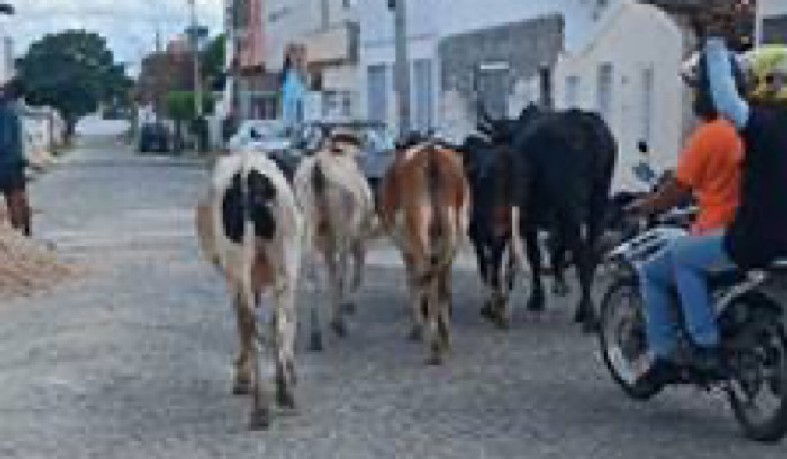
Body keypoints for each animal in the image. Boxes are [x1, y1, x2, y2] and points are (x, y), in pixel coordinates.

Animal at [195, 151, 301, 430]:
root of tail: (246, 170)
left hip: (243, 267)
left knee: (253, 325)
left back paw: (263, 404)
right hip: (284, 264)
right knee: (275, 326)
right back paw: (279, 397)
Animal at [293, 132, 376, 351]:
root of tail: (317, 171)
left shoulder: (326, 243)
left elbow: (331, 273)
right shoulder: (359, 236)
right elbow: (353, 273)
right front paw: (347, 306)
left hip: (308, 228)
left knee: (309, 277)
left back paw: (312, 332)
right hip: (341, 230)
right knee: (341, 273)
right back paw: (338, 324)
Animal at [380, 142, 470, 365]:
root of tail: (431, 152)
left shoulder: (406, 250)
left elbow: (412, 282)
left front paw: (416, 328)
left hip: (418, 230)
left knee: (427, 280)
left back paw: (435, 348)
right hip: (455, 233)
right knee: (443, 285)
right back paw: (445, 341)